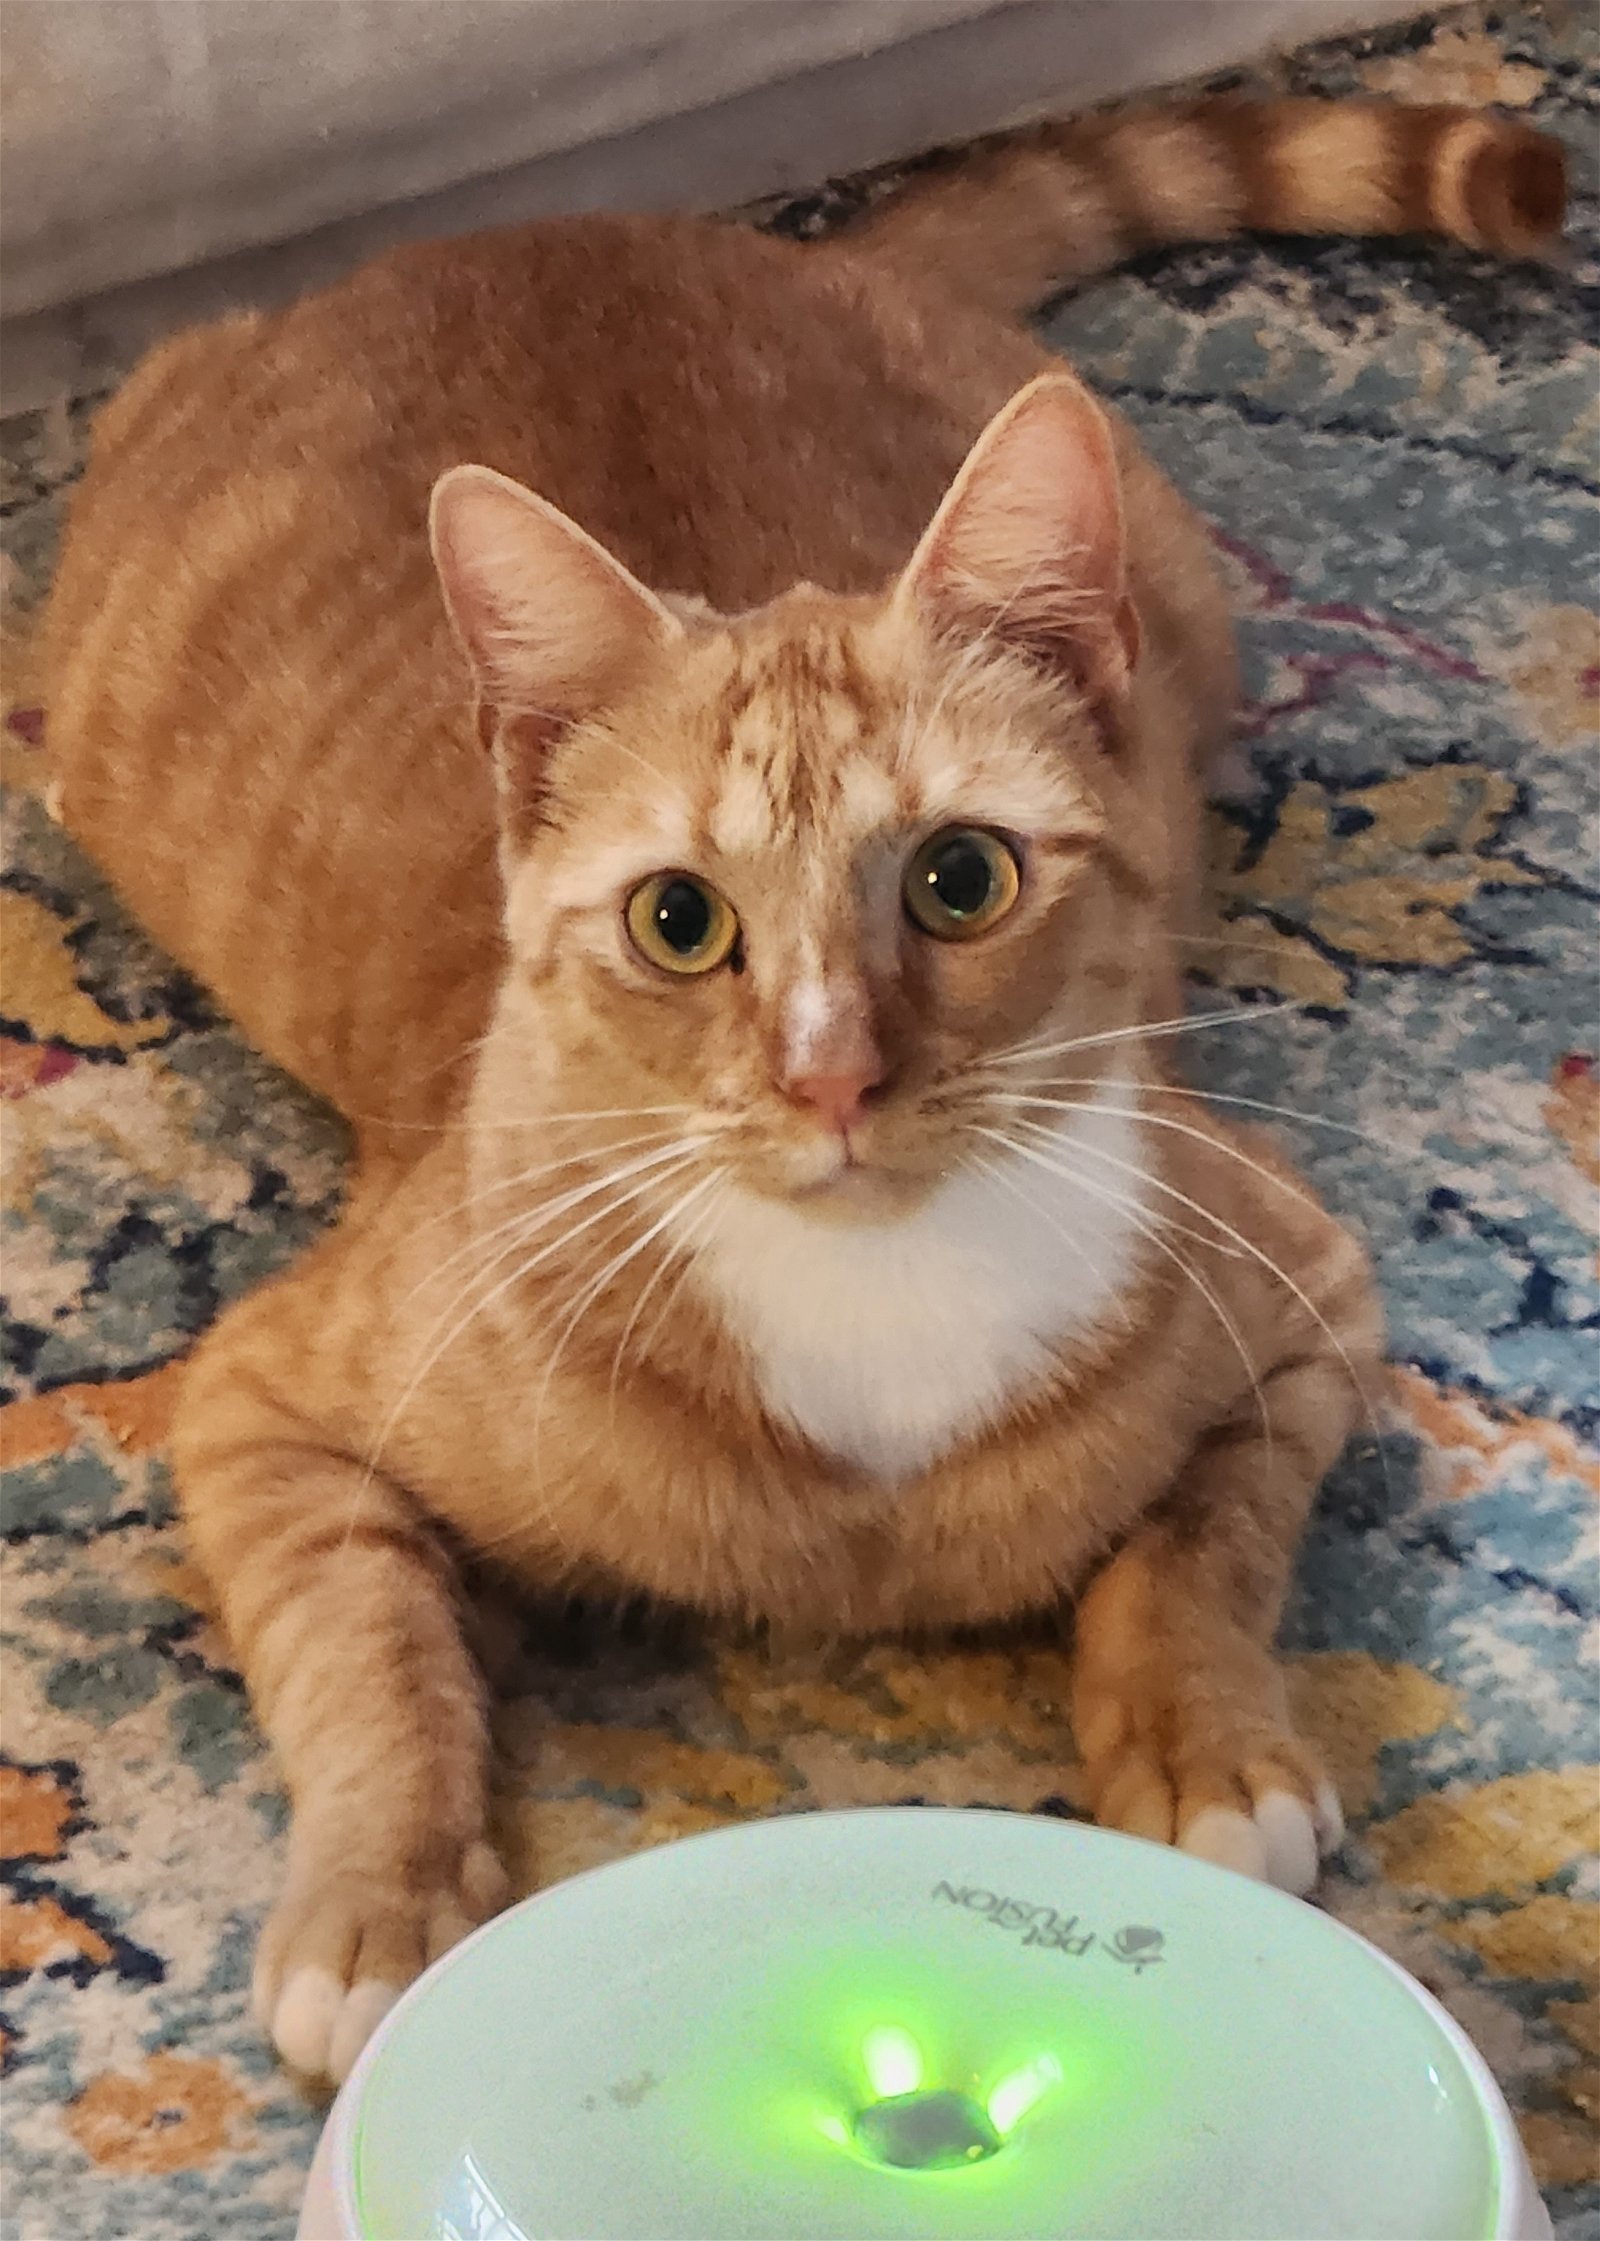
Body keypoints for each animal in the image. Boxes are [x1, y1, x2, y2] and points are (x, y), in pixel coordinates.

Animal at [46, 91, 1559, 2079]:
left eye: (963, 878)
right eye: (680, 919)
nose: (831, 1072)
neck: (878, 1319)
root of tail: (623, 229)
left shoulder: (1307, 1296)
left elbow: (1201, 1545)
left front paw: (1205, 1744)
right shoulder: (261, 1408)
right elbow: (371, 1658)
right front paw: (384, 1901)